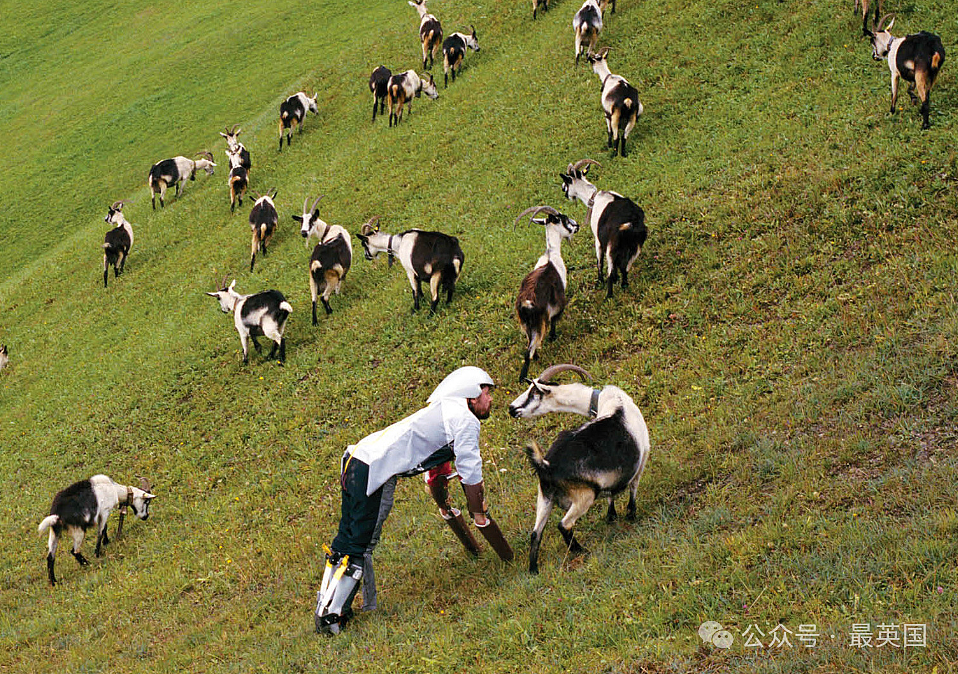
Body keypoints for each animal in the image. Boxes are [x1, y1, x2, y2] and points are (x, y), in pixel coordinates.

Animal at [510, 362, 652, 572]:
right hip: (583, 496)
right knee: (563, 524)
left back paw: (534, 569)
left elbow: (610, 494)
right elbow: (633, 487)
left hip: (544, 497)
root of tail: (546, 465)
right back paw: (580, 550)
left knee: (536, 533)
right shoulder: (643, 454)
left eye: (534, 393)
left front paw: (612, 516)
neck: (607, 400)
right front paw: (631, 514)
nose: (512, 408)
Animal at [512, 205, 580, 380]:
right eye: (564, 219)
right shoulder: (557, 302)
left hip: (526, 322)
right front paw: (553, 337)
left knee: (529, 343)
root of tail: (526, 303)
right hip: (537, 321)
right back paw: (523, 377)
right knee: (529, 349)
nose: (577, 226)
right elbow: (554, 319)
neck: (551, 253)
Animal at [560, 158, 648, 296]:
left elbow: (599, 261)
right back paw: (623, 286)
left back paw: (609, 296)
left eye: (566, 183)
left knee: (610, 271)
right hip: (636, 245)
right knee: (625, 267)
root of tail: (631, 221)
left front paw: (599, 281)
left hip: (612, 246)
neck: (593, 198)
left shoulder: (598, 239)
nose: (564, 192)